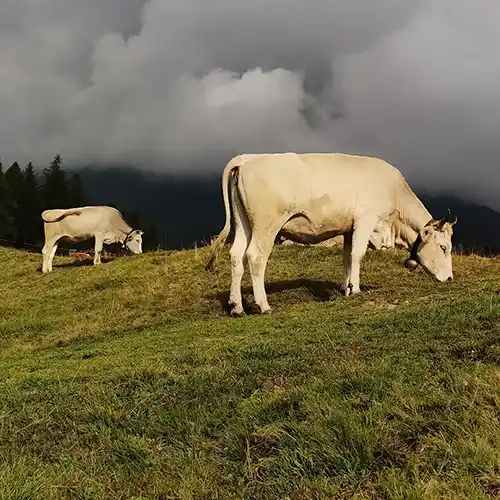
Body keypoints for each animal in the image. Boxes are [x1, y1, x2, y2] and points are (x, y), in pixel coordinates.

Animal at [205, 152, 456, 316]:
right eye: (444, 247)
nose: (450, 279)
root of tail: (246, 158)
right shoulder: (366, 220)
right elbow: (358, 254)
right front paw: (356, 289)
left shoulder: (348, 228)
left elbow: (347, 257)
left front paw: (346, 288)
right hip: (266, 225)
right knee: (255, 257)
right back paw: (263, 305)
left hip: (243, 223)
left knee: (236, 255)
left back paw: (236, 307)